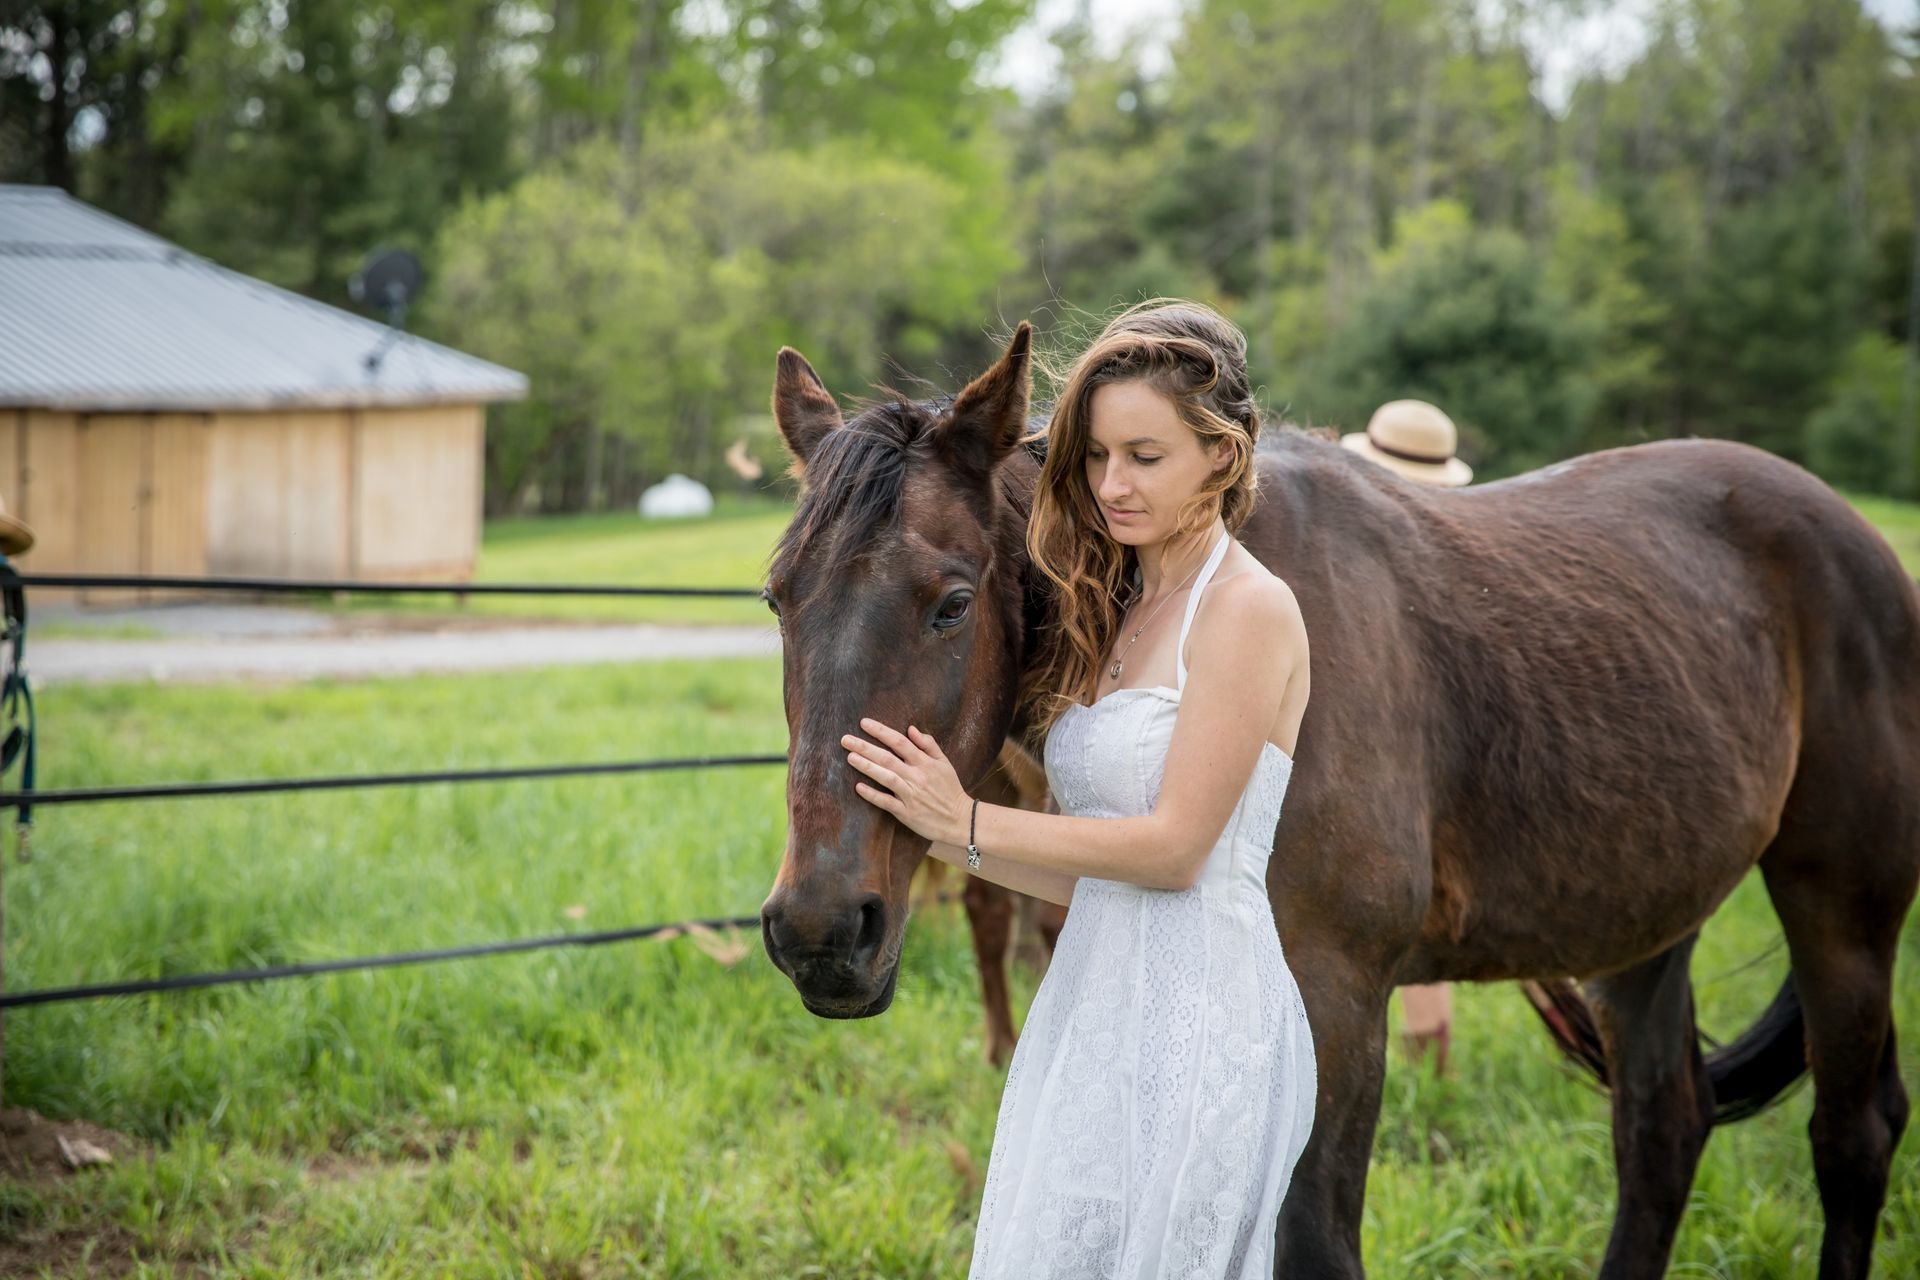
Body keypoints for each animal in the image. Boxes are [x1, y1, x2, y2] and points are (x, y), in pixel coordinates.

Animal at [756, 324, 1920, 1279]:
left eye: (952, 602)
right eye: (777, 600)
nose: (820, 928)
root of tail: (1856, 536)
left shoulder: (1339, 1000)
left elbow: (1313, 1244)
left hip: (1841, 910)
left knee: (1853, 1134)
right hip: (1643, 918)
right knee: (1662, 1130)